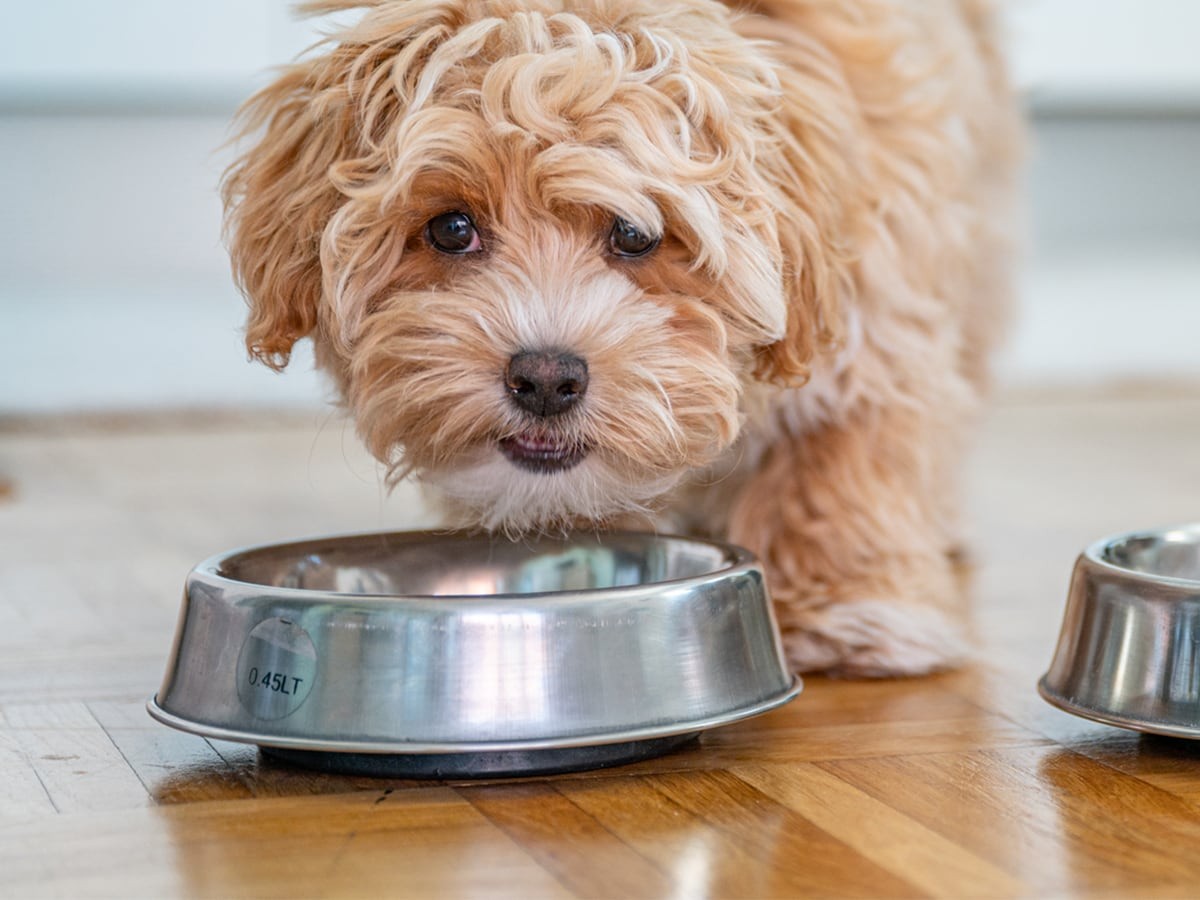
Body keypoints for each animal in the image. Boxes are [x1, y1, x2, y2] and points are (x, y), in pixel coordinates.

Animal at [220, 0, 1017, 676]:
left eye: (635, 235)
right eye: (451, 228)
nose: (545, 379)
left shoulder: (877, 304)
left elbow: (839, 451)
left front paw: (845, 609)